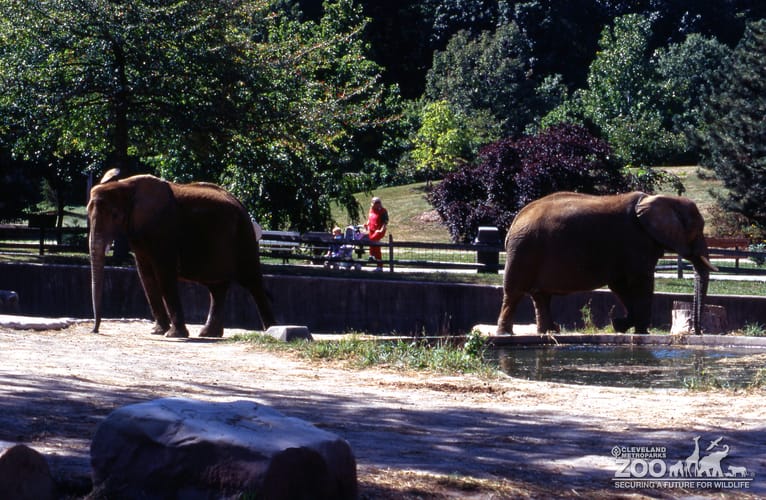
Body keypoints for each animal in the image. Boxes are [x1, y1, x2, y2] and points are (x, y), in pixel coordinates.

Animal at [88, 172, 275, 338]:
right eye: (88, 215)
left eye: (114, 215)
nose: (95, 331)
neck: (124, 184)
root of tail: (242, 205)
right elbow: (145, 275)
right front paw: (158, 332)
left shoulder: (162, 228)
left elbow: (163, 273)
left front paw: (173, 335)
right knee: (217, 288)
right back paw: (208, 334)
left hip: (245, 237)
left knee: (252, 283)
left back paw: (270, 331)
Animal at [496, 191, 717, 335]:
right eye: (697, 230)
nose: (697, 332)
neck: (662, 199)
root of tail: (514, 221)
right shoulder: (636, 242)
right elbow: (641, 282)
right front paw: (640, 331)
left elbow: (620, 285)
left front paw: (621, 325)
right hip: (523, 250)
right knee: (514, 292)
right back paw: (506, 334)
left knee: (541, 296)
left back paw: (550, 331)